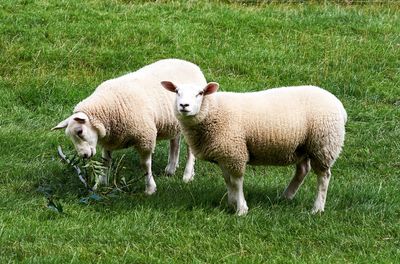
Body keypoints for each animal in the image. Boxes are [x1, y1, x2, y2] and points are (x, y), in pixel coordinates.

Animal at [52, 59, 206, 194]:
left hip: (193, 119)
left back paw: (187, 175)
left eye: (80, 131)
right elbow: (105, 162)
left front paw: (150, 189)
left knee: (190, 149)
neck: (108, 109)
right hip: (174, 123)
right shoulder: (109, 140)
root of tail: (190, 64)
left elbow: (145, 165)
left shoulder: (145, 138)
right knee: (175, 141)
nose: (83, 156)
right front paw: (100, 184)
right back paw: (171, 168)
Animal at [161, 81, 346, 216]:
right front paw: (231, 202)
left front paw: (241, 209)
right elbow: (227, 180)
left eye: (200, 93)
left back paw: (317, 208)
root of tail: (339, 105)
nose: (184, 105)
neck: (213, 111)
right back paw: (286, 197)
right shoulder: (223, 154)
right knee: (302, 170)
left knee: (323, 177)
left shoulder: (234, 152)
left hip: (323, 145)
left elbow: (236, 181)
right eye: (176, 91)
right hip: (302, 147)